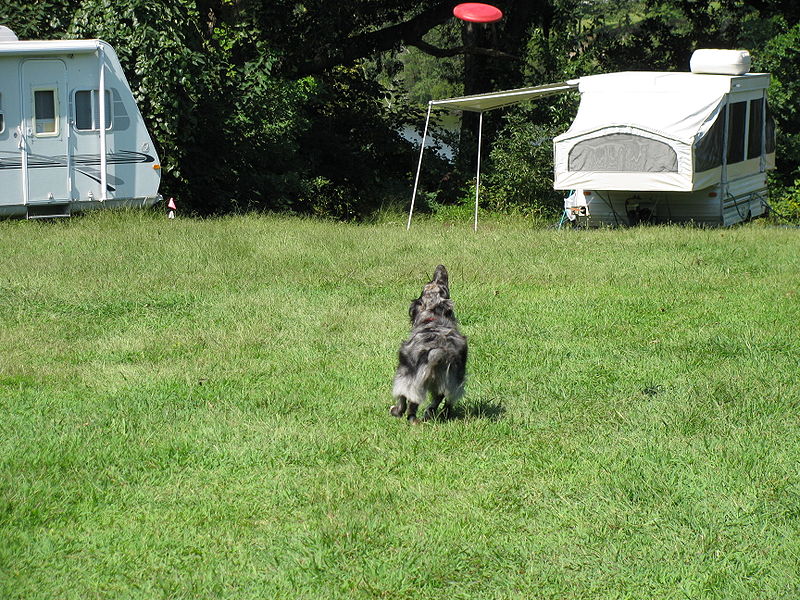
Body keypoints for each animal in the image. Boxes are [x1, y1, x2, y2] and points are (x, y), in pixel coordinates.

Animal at [390, 264, 466, 424]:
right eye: (444, 286)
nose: (440, 266)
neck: (433, 316)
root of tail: (436, 353)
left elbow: (402, 400)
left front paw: (396, 411)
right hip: (452, 381)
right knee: (443, 400)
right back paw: (435, 414)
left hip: (407, 378)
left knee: (411, 405)